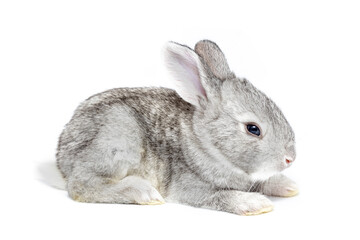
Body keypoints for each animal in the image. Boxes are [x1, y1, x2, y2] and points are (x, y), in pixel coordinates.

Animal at [57, 39, 298, 216]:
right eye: (253, 128)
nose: (290, 158)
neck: (205, 144)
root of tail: (62, 155)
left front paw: (288, 186)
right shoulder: (190, 187)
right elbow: (220, 196)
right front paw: (256, 204)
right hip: (118, 139)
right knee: (81, 185)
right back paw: (144, 193)